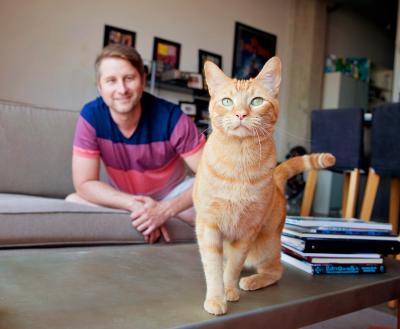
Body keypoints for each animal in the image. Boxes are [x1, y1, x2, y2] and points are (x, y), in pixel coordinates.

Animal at [192, 57, 336, 316]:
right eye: (227, 101)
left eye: (256, 101)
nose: (240, 114)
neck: (239, 159)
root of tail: (277, 178)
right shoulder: (209, 226)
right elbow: (214, 267)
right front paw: (217, 297)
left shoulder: (247, 231)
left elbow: (233, 267)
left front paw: (229, 290)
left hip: (265, 246)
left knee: (276, 271)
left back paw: (252, 280)